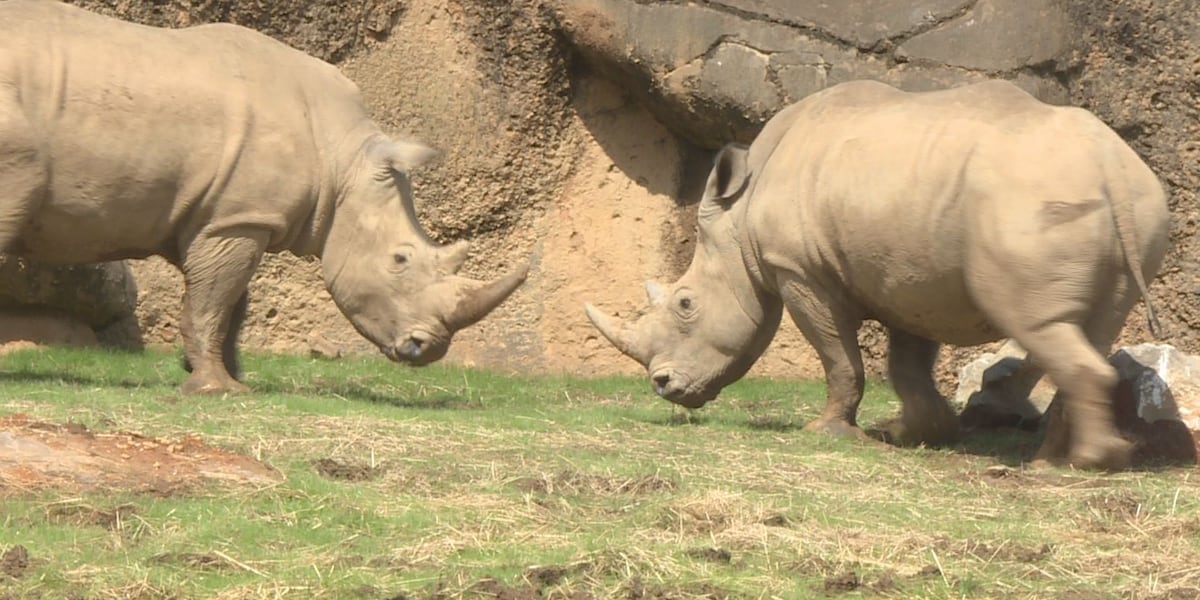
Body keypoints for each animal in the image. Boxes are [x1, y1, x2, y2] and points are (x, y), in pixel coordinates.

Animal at [0, 0, 528, 393]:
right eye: (400, 259)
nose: (427, 349)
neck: (342, 159)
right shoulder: (238, 219)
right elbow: (213, 301)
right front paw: (218, 390)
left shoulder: (218, 214)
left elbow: (228, 301)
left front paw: (225, 376)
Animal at [586, 80, 1170, 470]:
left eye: (686, 304)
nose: (662, 386)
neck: (741, 219)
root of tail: (1108, 166)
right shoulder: (912, 273)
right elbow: (906, 363)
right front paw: (916, 433)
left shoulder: (800, 272)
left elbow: (840, 357)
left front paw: (826, 431)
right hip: (1135, 204)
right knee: (1087, 328)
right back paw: (1060, 460)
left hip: (1029, 200)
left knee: (1037, 324)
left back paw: (1080, 464)